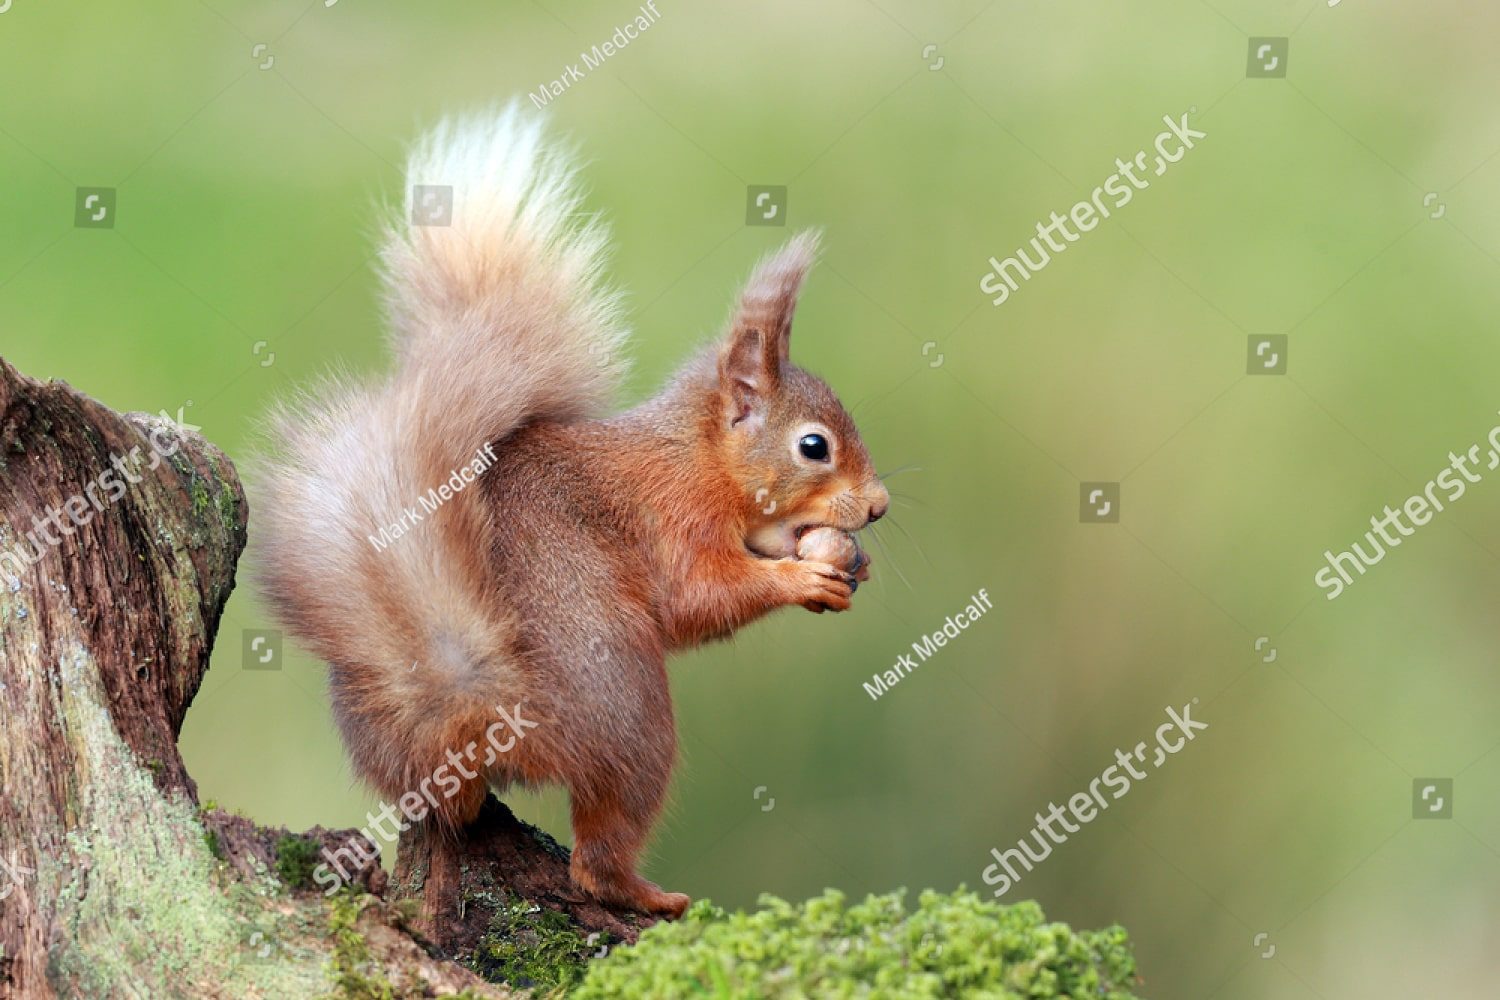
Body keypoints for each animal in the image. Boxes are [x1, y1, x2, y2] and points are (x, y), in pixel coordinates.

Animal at [251, 105, 889, 918]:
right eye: (814, 446)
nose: (879, 506)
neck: (695, 459)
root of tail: (477, 709)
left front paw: (842, 566)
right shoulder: (672, 521)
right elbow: (699, 599)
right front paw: (799, 580)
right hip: (631, 719)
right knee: (598, 855)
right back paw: (650, 896)